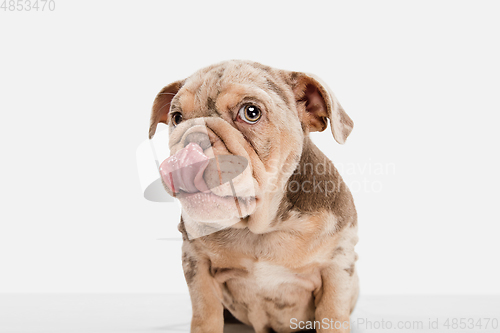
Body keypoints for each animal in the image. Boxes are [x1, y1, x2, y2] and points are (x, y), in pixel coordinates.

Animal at [148, 60, 360, 332]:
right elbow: (206, 313)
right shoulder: (197, 263)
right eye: (176, 118)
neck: (260, 228)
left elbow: (332, 314)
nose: (194, 137)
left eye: (251, 112)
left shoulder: (337, 264)